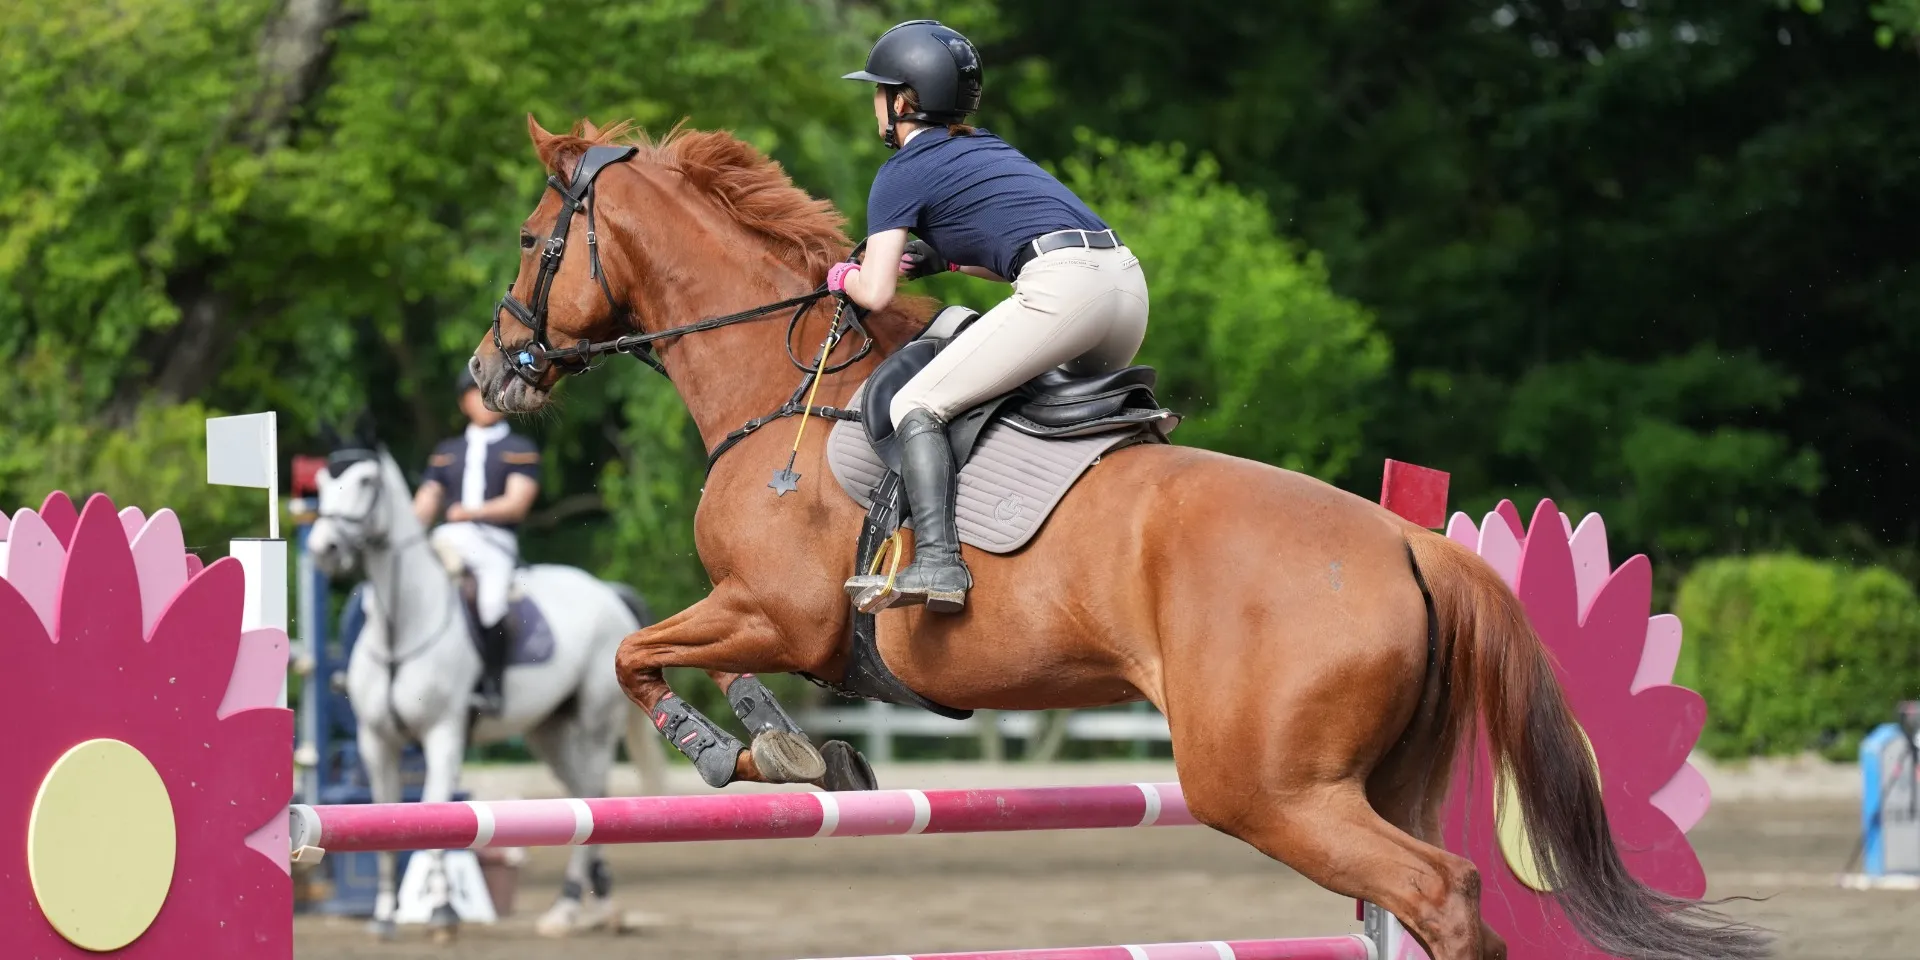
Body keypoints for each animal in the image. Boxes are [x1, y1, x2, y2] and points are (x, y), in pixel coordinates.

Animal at [307, 445, 668, 940]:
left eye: (366, 481)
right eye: (322, 482)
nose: (324, 549)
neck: (403, 625)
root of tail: (607, 594)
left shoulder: (443, 734)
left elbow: (436, 811)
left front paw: (443, 913)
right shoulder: (375, 741)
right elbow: (384, 818)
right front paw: (384, 917)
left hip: (594, 727)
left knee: (594, 796)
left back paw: (572, 907)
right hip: (548, 733)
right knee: (584, 800)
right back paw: (595, 905)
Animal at [468, 118, 1766, 960]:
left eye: (532, 240)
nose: (490, 372)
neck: (780, 381)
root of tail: (1417, 546)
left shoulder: (778, 612)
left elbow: (648, 657)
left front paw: (738, 753)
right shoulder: (768, 620)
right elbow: (690, 663)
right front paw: (802, 752)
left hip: (1264, 786)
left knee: (1441, 893)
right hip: (1379, 774)